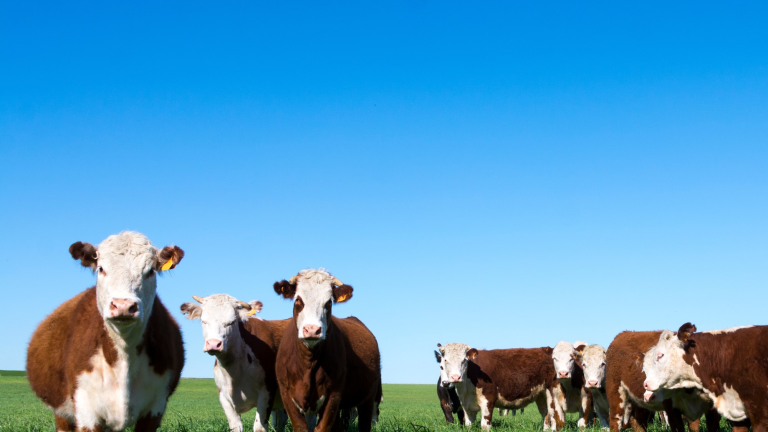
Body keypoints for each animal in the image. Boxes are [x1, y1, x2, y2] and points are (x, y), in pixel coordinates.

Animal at [26, 231, 185, 432]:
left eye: (150, 271)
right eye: (101, 268)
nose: (123, 305)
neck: (124, 355)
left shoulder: (155, 407)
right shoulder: (85, 408)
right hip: (61, 412)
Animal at [180, 294, 319, 432]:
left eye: (232, 322)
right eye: (203, 321)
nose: (214, 344)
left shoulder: (266, 393)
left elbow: (259, 427)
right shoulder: (224, 397)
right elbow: (235, 427)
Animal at [273, 268, 382, 432]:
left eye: (328, 302)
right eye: (298, 299)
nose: (312, 330)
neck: (307, 363)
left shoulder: (333, 395)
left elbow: (322, 428)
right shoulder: (286, 394)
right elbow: (301, 427)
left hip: (368, 399)